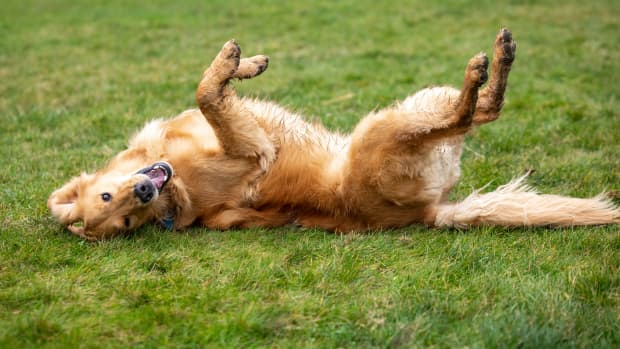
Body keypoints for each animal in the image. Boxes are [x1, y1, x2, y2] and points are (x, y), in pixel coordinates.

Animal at [49, 29, 620, 239]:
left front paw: (245, 63)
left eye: (114, 202)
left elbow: (211, 92)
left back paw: (498, 59)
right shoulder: (253, 148)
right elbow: (208, 93)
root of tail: (429, 213)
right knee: (472, 113)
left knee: (481, 110)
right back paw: (486, 67)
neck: (175, 175)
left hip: (414, 107)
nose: (145, 191)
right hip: (388, 127)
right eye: (124, 218)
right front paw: (234, 63)